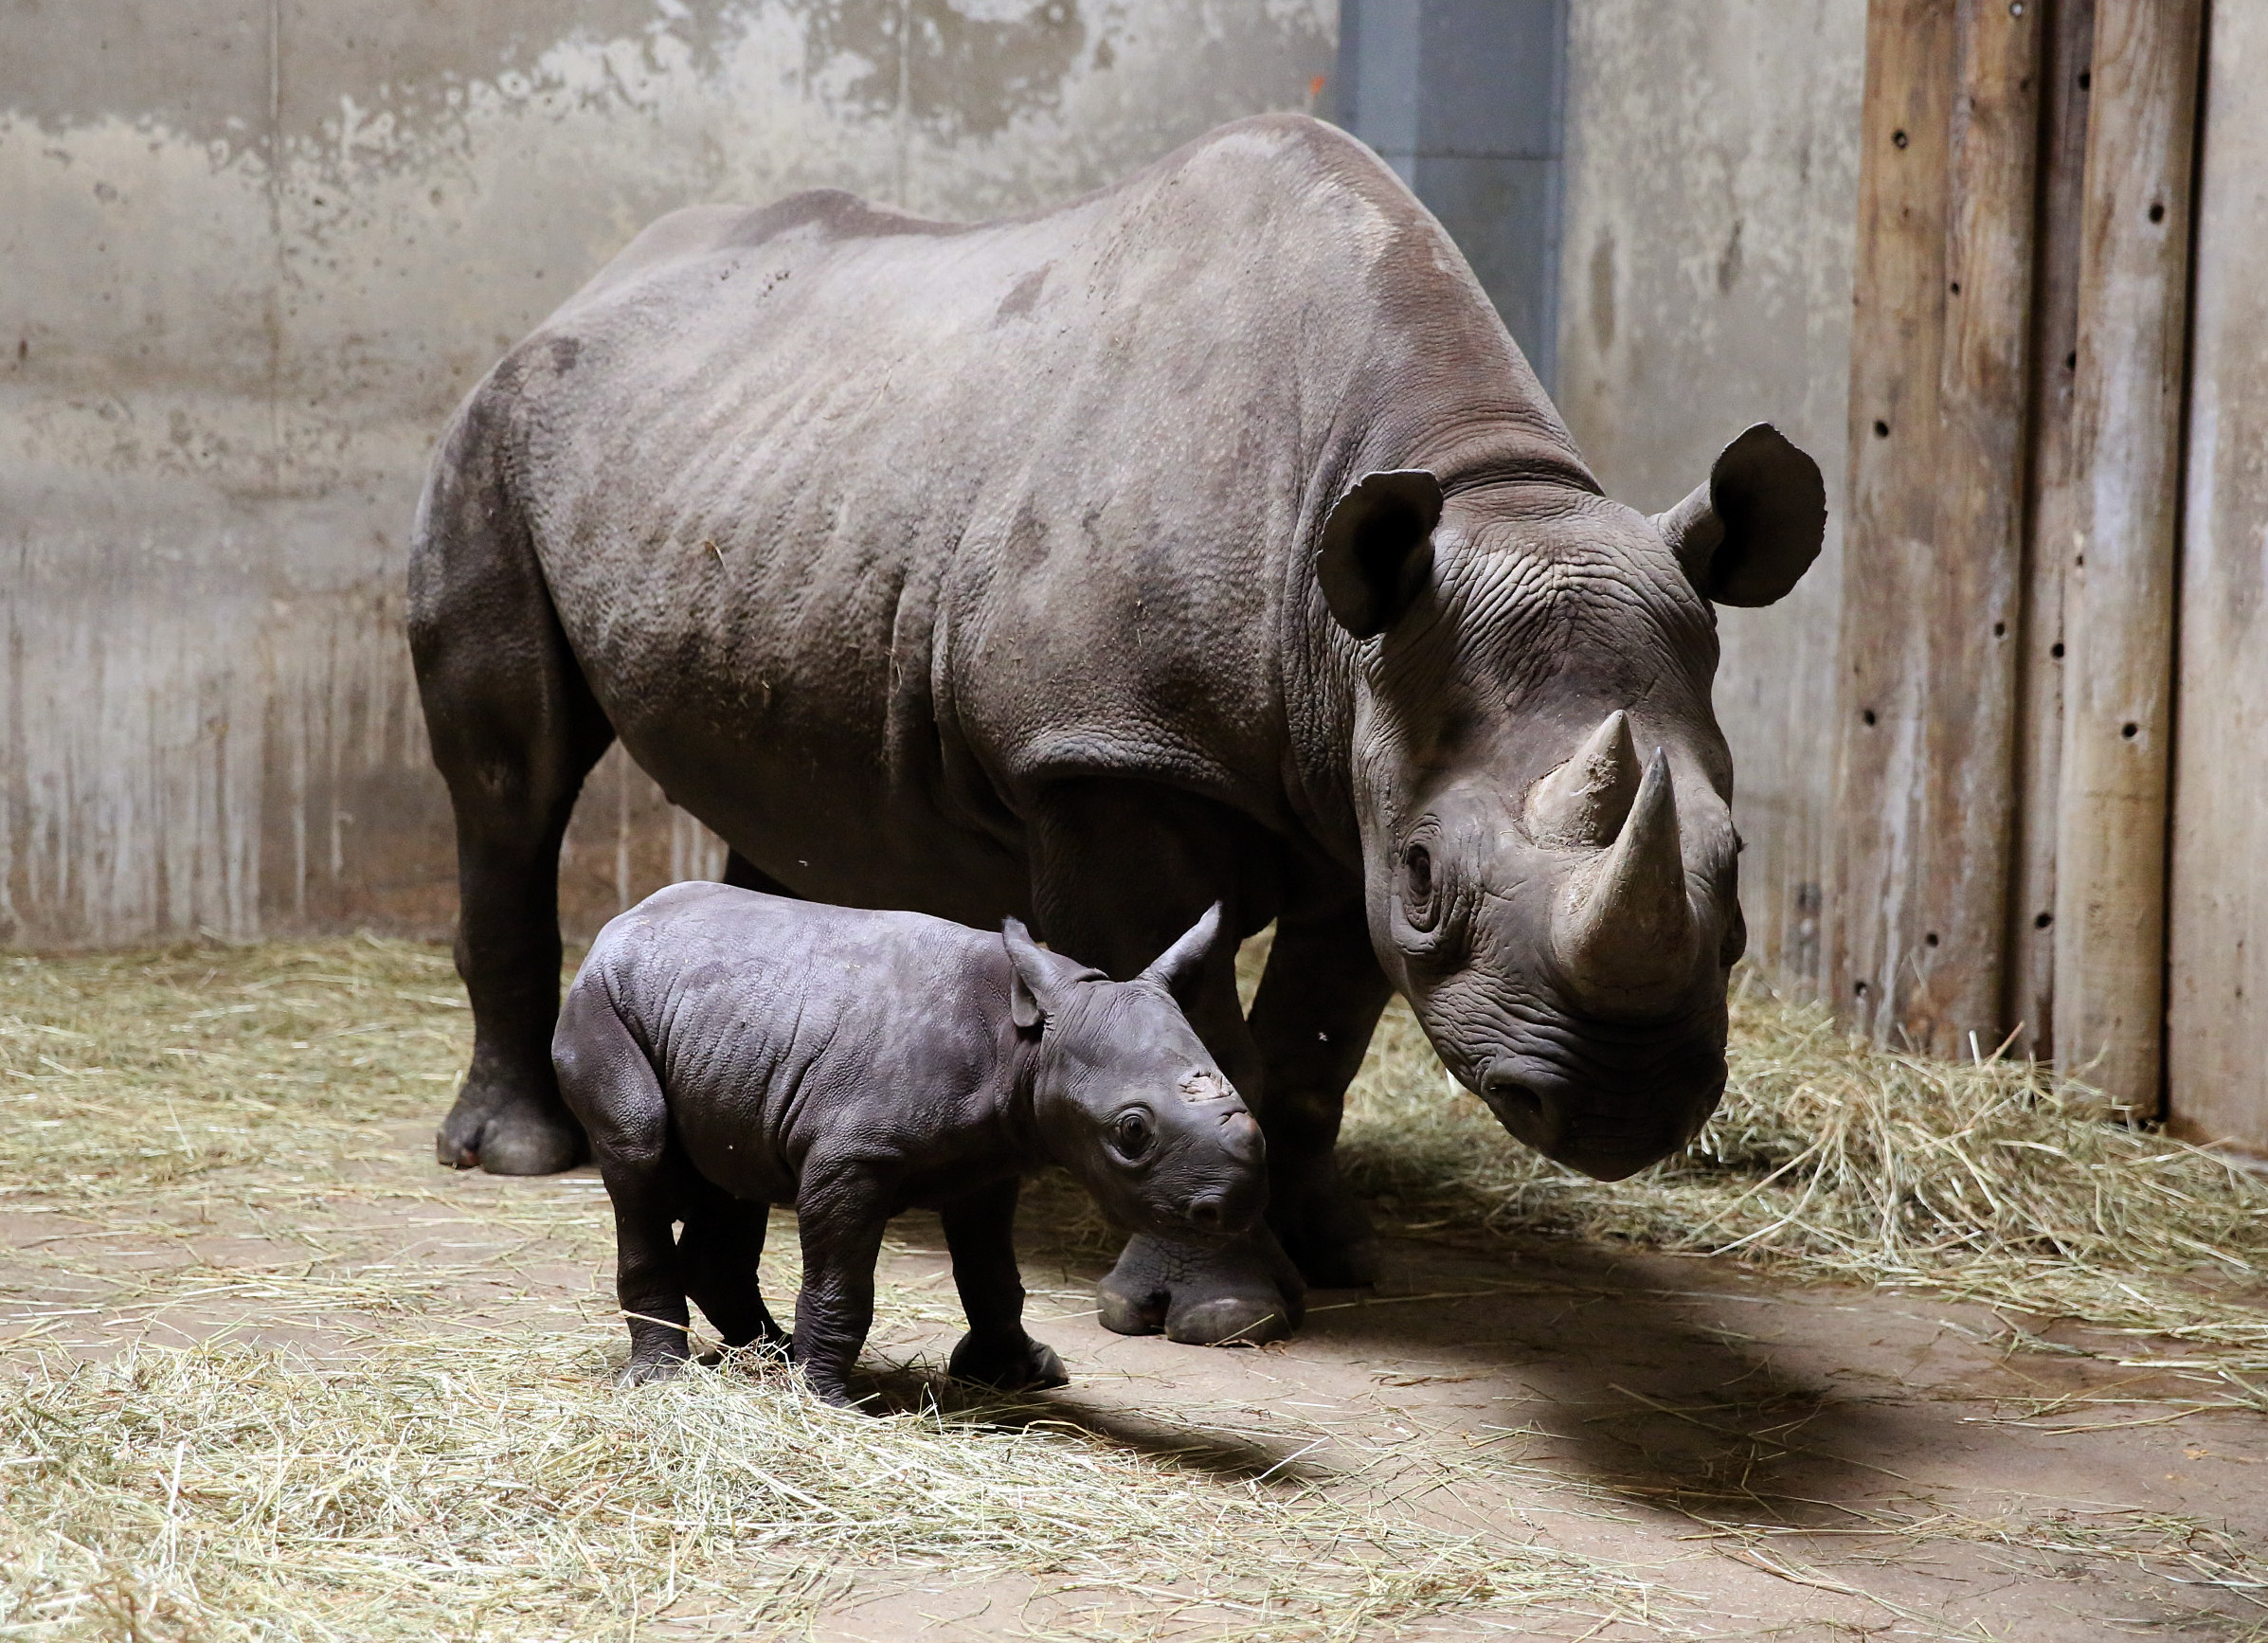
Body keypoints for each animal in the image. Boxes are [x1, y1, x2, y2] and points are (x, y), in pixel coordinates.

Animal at [409, 113, 1824, 1347]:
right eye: (1430, 876)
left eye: (1738, 862)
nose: (1624, 1104)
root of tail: (590, 286)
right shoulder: (1110, 762)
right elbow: (1206, 1023)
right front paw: (1222, 1311)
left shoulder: (1356, 776)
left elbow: (1313, 1046)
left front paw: (1337, 1251)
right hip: (493, 429)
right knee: (510, 780)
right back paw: (517, 1152)